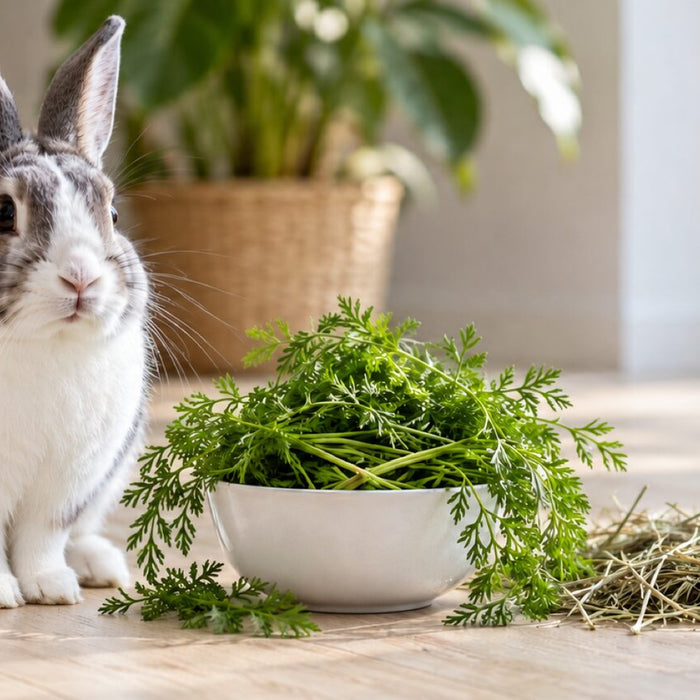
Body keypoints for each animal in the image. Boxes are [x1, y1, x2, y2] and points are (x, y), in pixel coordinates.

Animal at [0, 16, 150, 608]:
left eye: (112, 213)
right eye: (3, 212)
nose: (80, 277)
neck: (42, 344)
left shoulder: (66, 485)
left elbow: (43, 535)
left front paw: (51, 588)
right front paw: (6, 595)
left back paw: (96, 566)